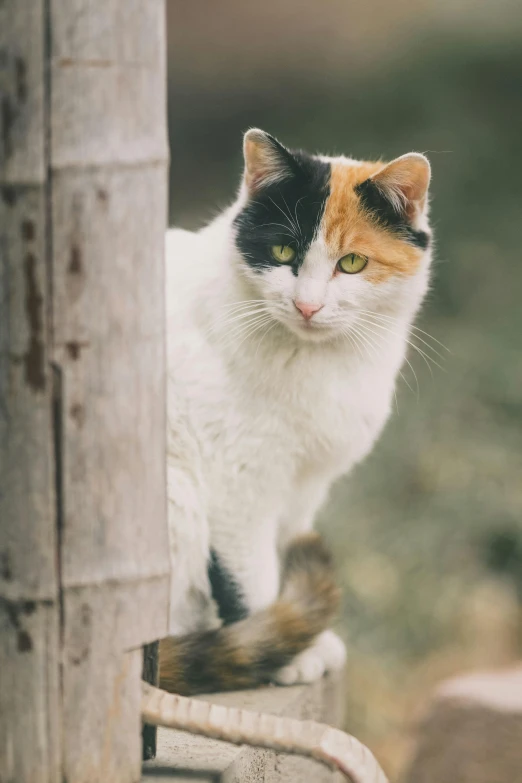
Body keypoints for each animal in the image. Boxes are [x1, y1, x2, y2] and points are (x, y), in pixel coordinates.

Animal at [160, 130, 428, 700]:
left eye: (352, 263)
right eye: (283, 251)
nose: (307, 306)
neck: (317, 363)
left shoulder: (303, 486)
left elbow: (285, 550)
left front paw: (299, 634)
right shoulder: (236, 482)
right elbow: (251, 574)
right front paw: (280, 651)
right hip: (177, 493)